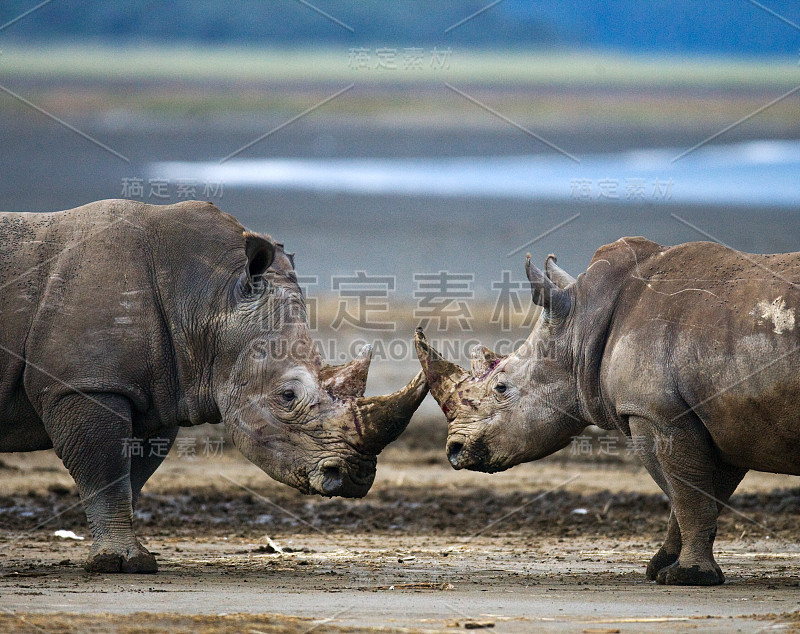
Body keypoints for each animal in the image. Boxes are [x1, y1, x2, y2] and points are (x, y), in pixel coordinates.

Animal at [1, 200, 424, 572]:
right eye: (287, 396)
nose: (354, 478)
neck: (208, 297)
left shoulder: (157, 395)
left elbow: (132, 477)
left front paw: (134, 558)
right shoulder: (86, 385)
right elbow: (106, 474)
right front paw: (119, 564)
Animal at [416, 236, 800, 584]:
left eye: (501, 388)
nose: (454, 450)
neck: (581, 327)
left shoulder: (658, 413)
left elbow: (686, 493)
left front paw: (688, 576)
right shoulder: (729, 420)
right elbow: (701, 494)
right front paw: (661, 566)